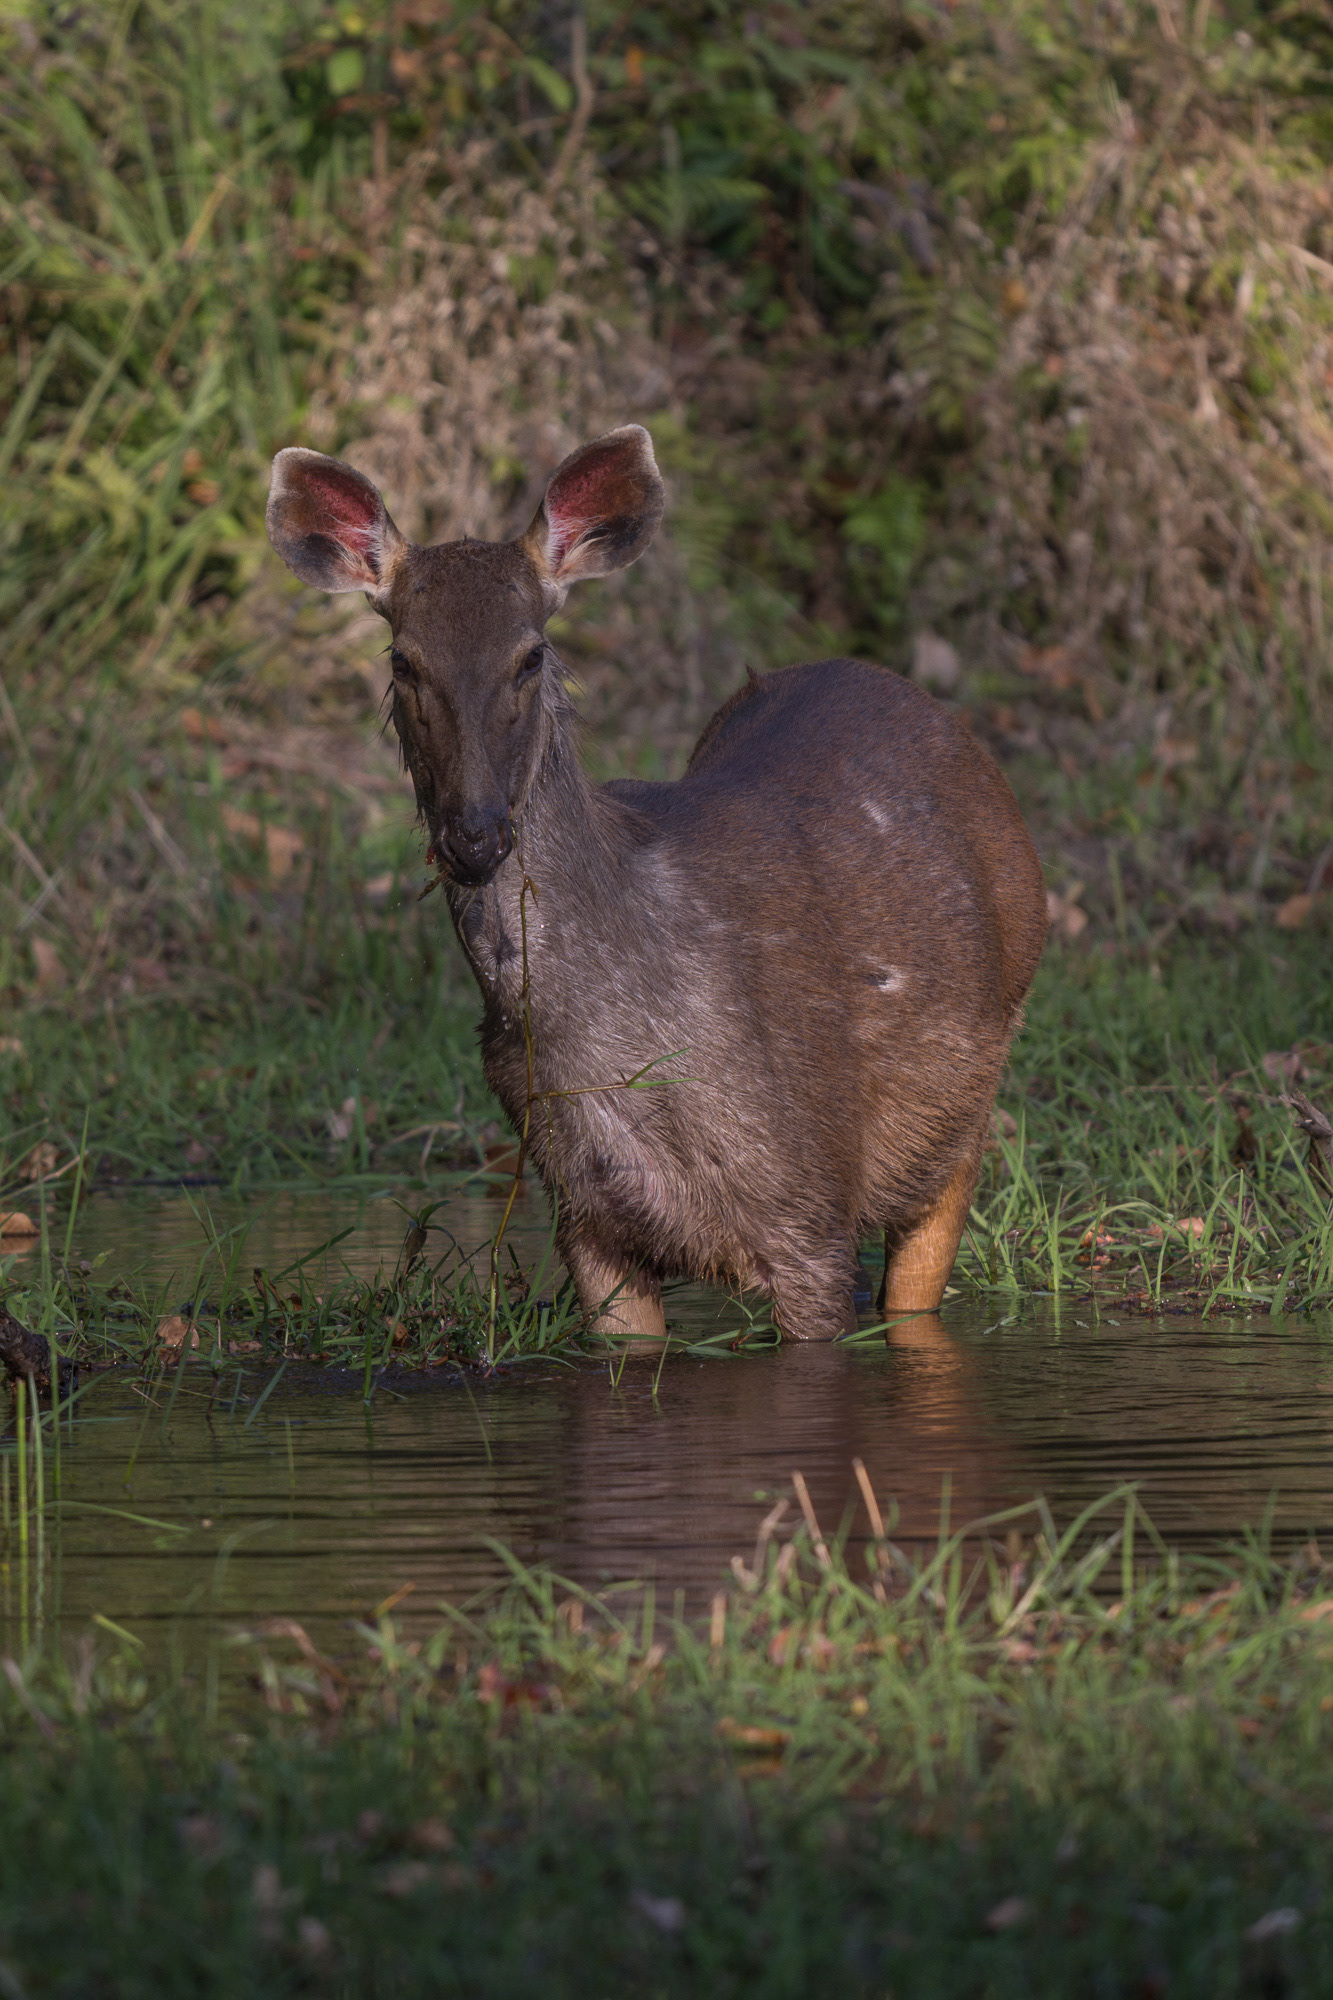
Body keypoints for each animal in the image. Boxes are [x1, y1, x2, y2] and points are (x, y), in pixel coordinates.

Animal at [266, 425, 1048, 1346]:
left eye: (531, 655)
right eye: (403, 660)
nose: (474, 834)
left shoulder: (810, 1201)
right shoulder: (586, 1222)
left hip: (962, 1113)